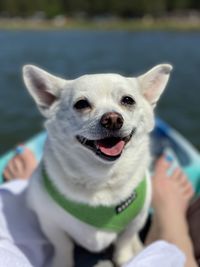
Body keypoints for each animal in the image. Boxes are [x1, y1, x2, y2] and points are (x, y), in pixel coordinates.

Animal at [23, 63, 172, 267]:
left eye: (128, 100)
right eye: (81, 104)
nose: (113, 119)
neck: (101, 177)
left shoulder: (136, 220)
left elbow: (124, 241)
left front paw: (125, 259)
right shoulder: (50, 222)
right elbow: (63, 246)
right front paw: (62, 262)